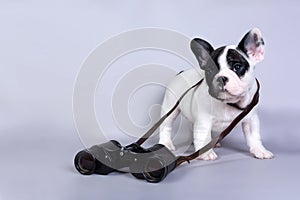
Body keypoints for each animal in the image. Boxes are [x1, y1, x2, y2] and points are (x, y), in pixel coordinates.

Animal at [159, 28, 274, 160]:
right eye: (210, 71)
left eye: (237, 67)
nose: (221, 78)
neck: (230, 103)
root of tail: (181, 72)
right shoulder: (204, 119)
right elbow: (203, 136)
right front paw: (206, 153)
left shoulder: (251, 119)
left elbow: (254, 136)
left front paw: (259, 150)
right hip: (170, 108)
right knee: (166, 126)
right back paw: (166, 144)